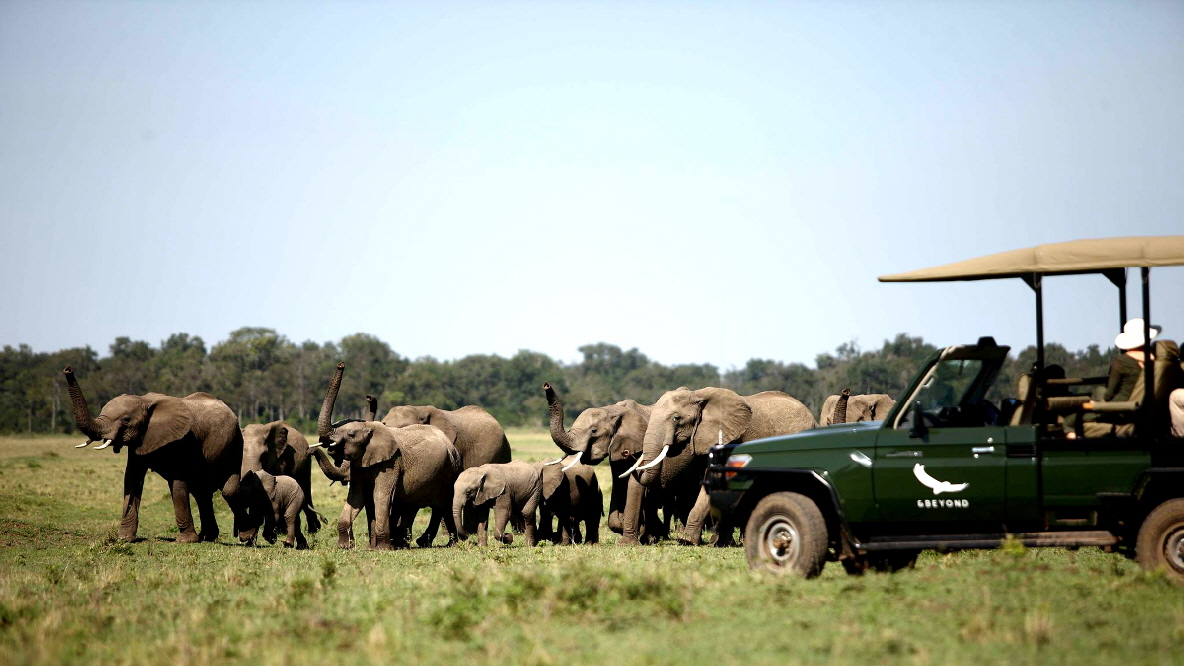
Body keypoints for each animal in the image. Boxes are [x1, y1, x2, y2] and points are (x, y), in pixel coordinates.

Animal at [63, 364, 249, 542]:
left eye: (126, 420)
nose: (68, 370)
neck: (144, 400)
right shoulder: (140, 441)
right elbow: (132, 479)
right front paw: (124, 539)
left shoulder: (182, 440)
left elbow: (178, 484)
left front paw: (185, 541)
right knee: (201, 492)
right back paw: (208, 537)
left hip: (235, 443)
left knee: (228, 490)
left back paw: (247, 537)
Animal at [307, 362, 459, 549]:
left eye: (351, 435)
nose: (341, 364)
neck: (373, 428)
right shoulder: (361, 464)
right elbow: (356, 496)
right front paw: (345, 547)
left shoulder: (391, 463)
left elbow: (380, 496)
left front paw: (383, 549)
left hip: (449, 470)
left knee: (443, 504)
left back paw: (450, 543)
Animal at [620, 383, 814, 545]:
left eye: (676, 418)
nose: (627, 453)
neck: (698, 396)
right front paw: (718, 543)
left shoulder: (732, 440)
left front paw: (686, 540)